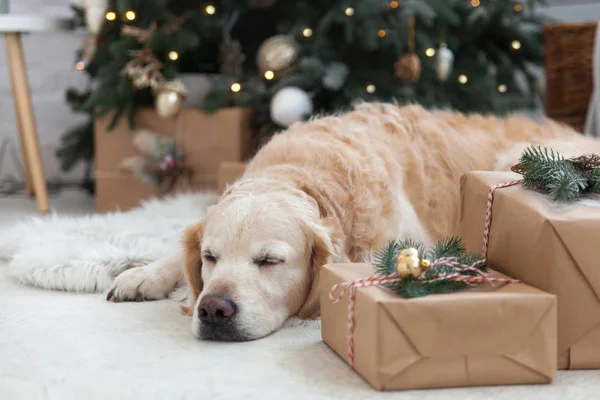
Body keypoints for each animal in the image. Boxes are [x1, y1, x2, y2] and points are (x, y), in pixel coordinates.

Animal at [105, 102, 596, 340]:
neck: (309, 175)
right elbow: (175, 250)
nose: (212, 310)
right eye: (209, 257)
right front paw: (141, 275)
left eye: (269, 261)